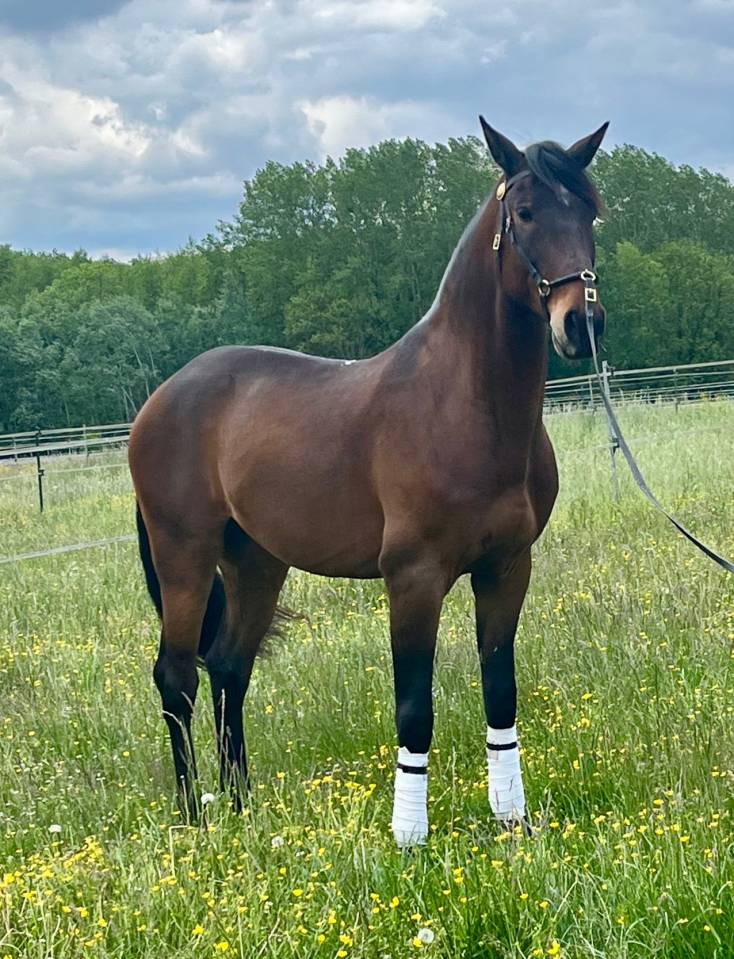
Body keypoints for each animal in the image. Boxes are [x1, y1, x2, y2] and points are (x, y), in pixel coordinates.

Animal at [128, 117, 608, 845]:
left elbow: (501, 694)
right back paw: (195, 815)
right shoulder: (413, 578)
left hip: (256, 560)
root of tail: (162, 397)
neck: (465, 405)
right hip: (183, 552)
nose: (582, 322)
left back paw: (241, 804)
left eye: (589, 212)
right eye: (525, 212)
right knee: (177, 676)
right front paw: (409, 837)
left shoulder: (506, 568)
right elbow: (414, 707)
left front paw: (511, 820)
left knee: (231, 667)